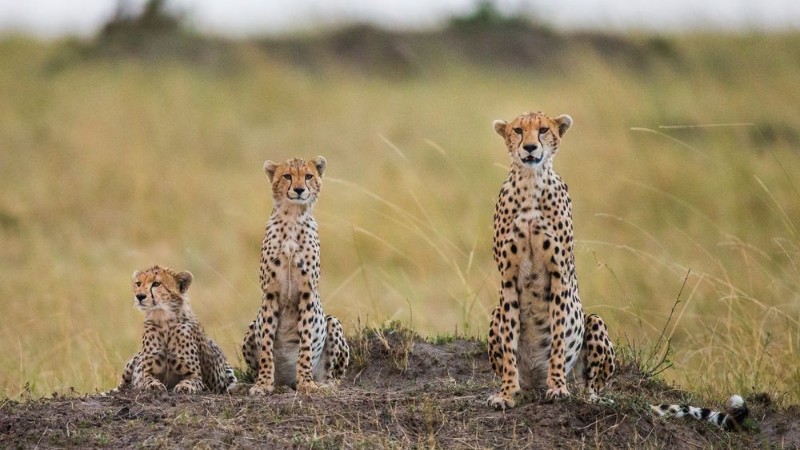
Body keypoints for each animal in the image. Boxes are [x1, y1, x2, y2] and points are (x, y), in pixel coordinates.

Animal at [113, 265, 237, 394]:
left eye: (156, 283)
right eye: (138, 283)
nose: (139, 296)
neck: (163, 320)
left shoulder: (196, 376)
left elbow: (190, 381)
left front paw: (184, 387)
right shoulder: (146, 372)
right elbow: (147, 379)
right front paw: (154, 385)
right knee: (120, 386)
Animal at [242, 156, 350, 395]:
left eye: (308, 175)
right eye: (287, 176)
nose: (299, 189)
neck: (291, 218)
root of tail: (286, 381)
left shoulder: (307, 293)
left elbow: (306, 345)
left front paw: (306, 383)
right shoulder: (270, 294)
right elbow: (266, 348)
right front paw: (263, 383)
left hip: (333, 322)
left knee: (337, 376)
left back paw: (322, 384)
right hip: (251, 328)